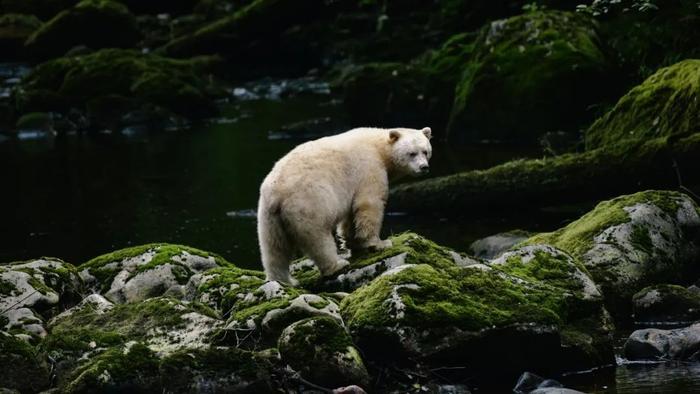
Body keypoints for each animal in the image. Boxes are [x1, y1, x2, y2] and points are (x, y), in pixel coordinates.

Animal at [258, 127, 432, 284]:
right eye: (412, 153)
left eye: (425, 151)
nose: (424, 167)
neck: (380, 149)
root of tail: (277, 193)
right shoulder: (370, 168)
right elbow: (369, 203)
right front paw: (379, 243)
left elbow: (351, 214)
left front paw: (354, 242)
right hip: (308, 202)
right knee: (316, 236)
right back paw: (336, 265)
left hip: (269, 216)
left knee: (274, 247)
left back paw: (283, 280)